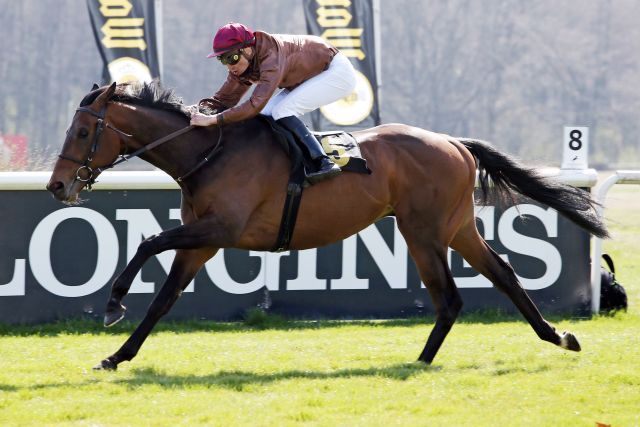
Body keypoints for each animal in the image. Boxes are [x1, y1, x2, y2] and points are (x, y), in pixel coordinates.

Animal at [47, 83, 608, 372]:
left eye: (83, 130)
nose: (57, 186)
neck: (209, 151)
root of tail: (454, 142)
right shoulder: (202, 240)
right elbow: (164, 298)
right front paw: (117, 356)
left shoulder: (220, 229)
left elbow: (146, 242)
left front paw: (113, 304)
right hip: (455, 227)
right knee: (504, 275)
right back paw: (558, 337)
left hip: (423, 230)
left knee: (450, 296)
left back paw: (420, 361)